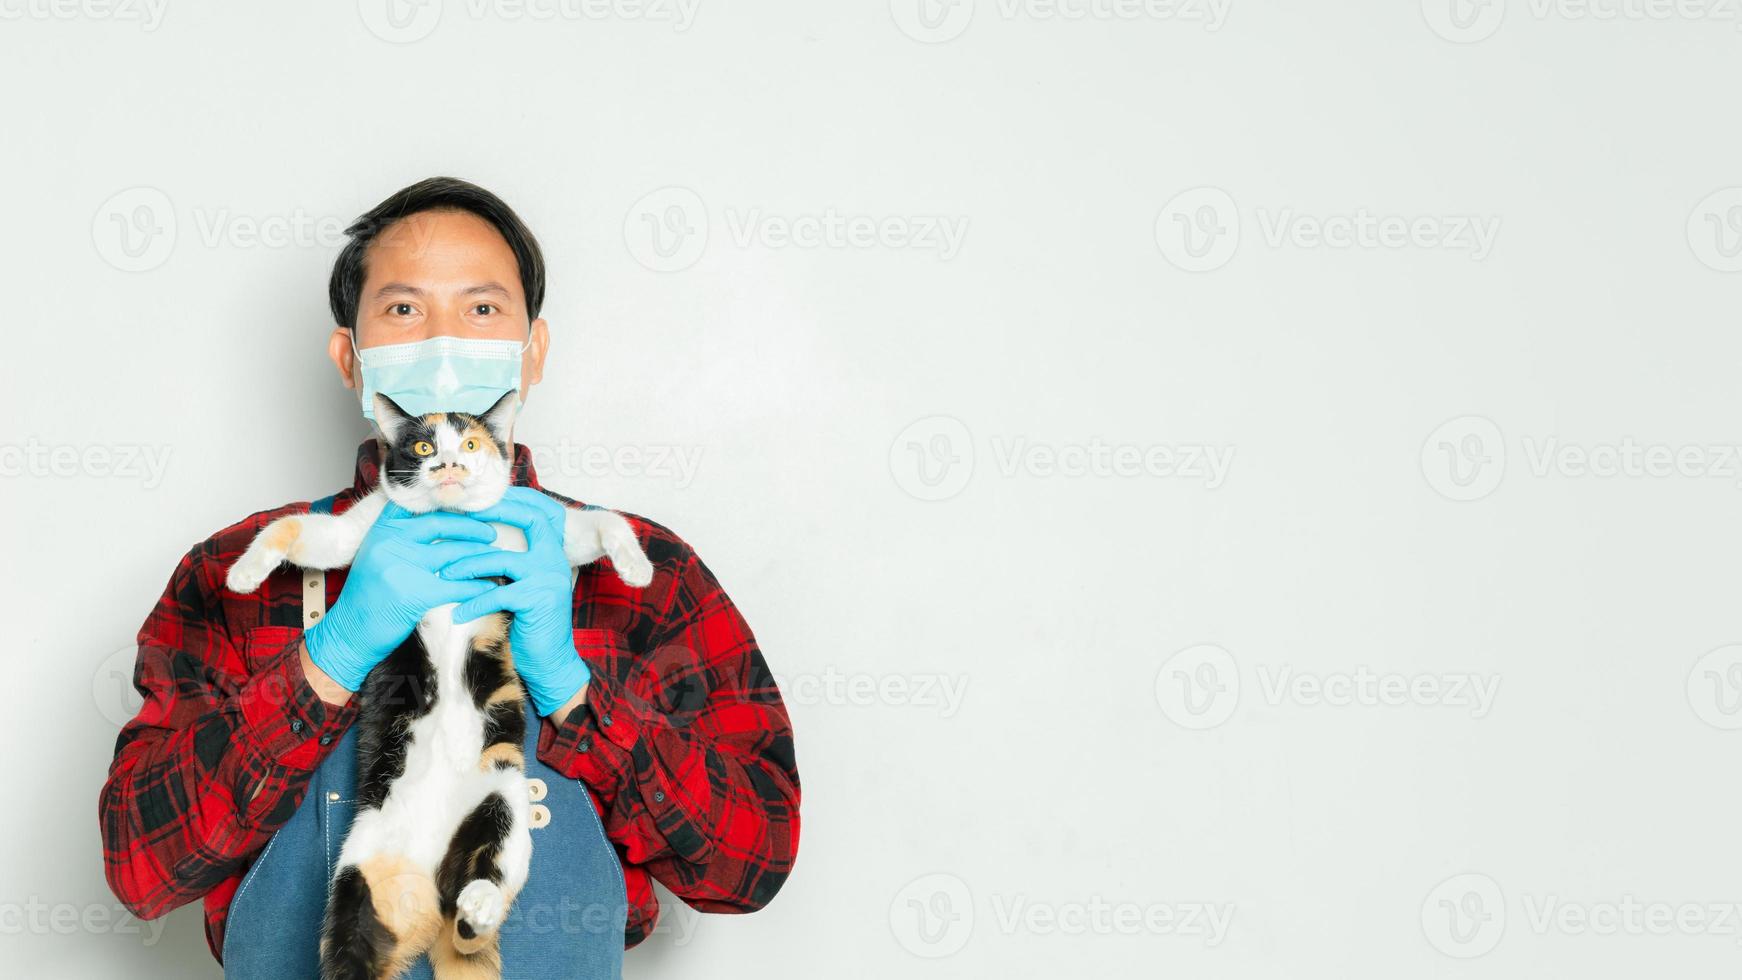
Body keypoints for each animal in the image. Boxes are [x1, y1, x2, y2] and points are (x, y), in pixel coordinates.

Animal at [221, 393, 651, 980]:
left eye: (470, 443)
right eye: (424, 446)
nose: (448, 464)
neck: (449, 523)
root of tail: (438, 896)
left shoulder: (536, 532)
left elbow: (599, 525)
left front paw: (636, 567)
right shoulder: (364, 529)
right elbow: (297, 532)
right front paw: (243, 572)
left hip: (502, 801)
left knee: (490, 889)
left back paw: (478, 905)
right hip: (360, 879)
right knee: (359, 946)